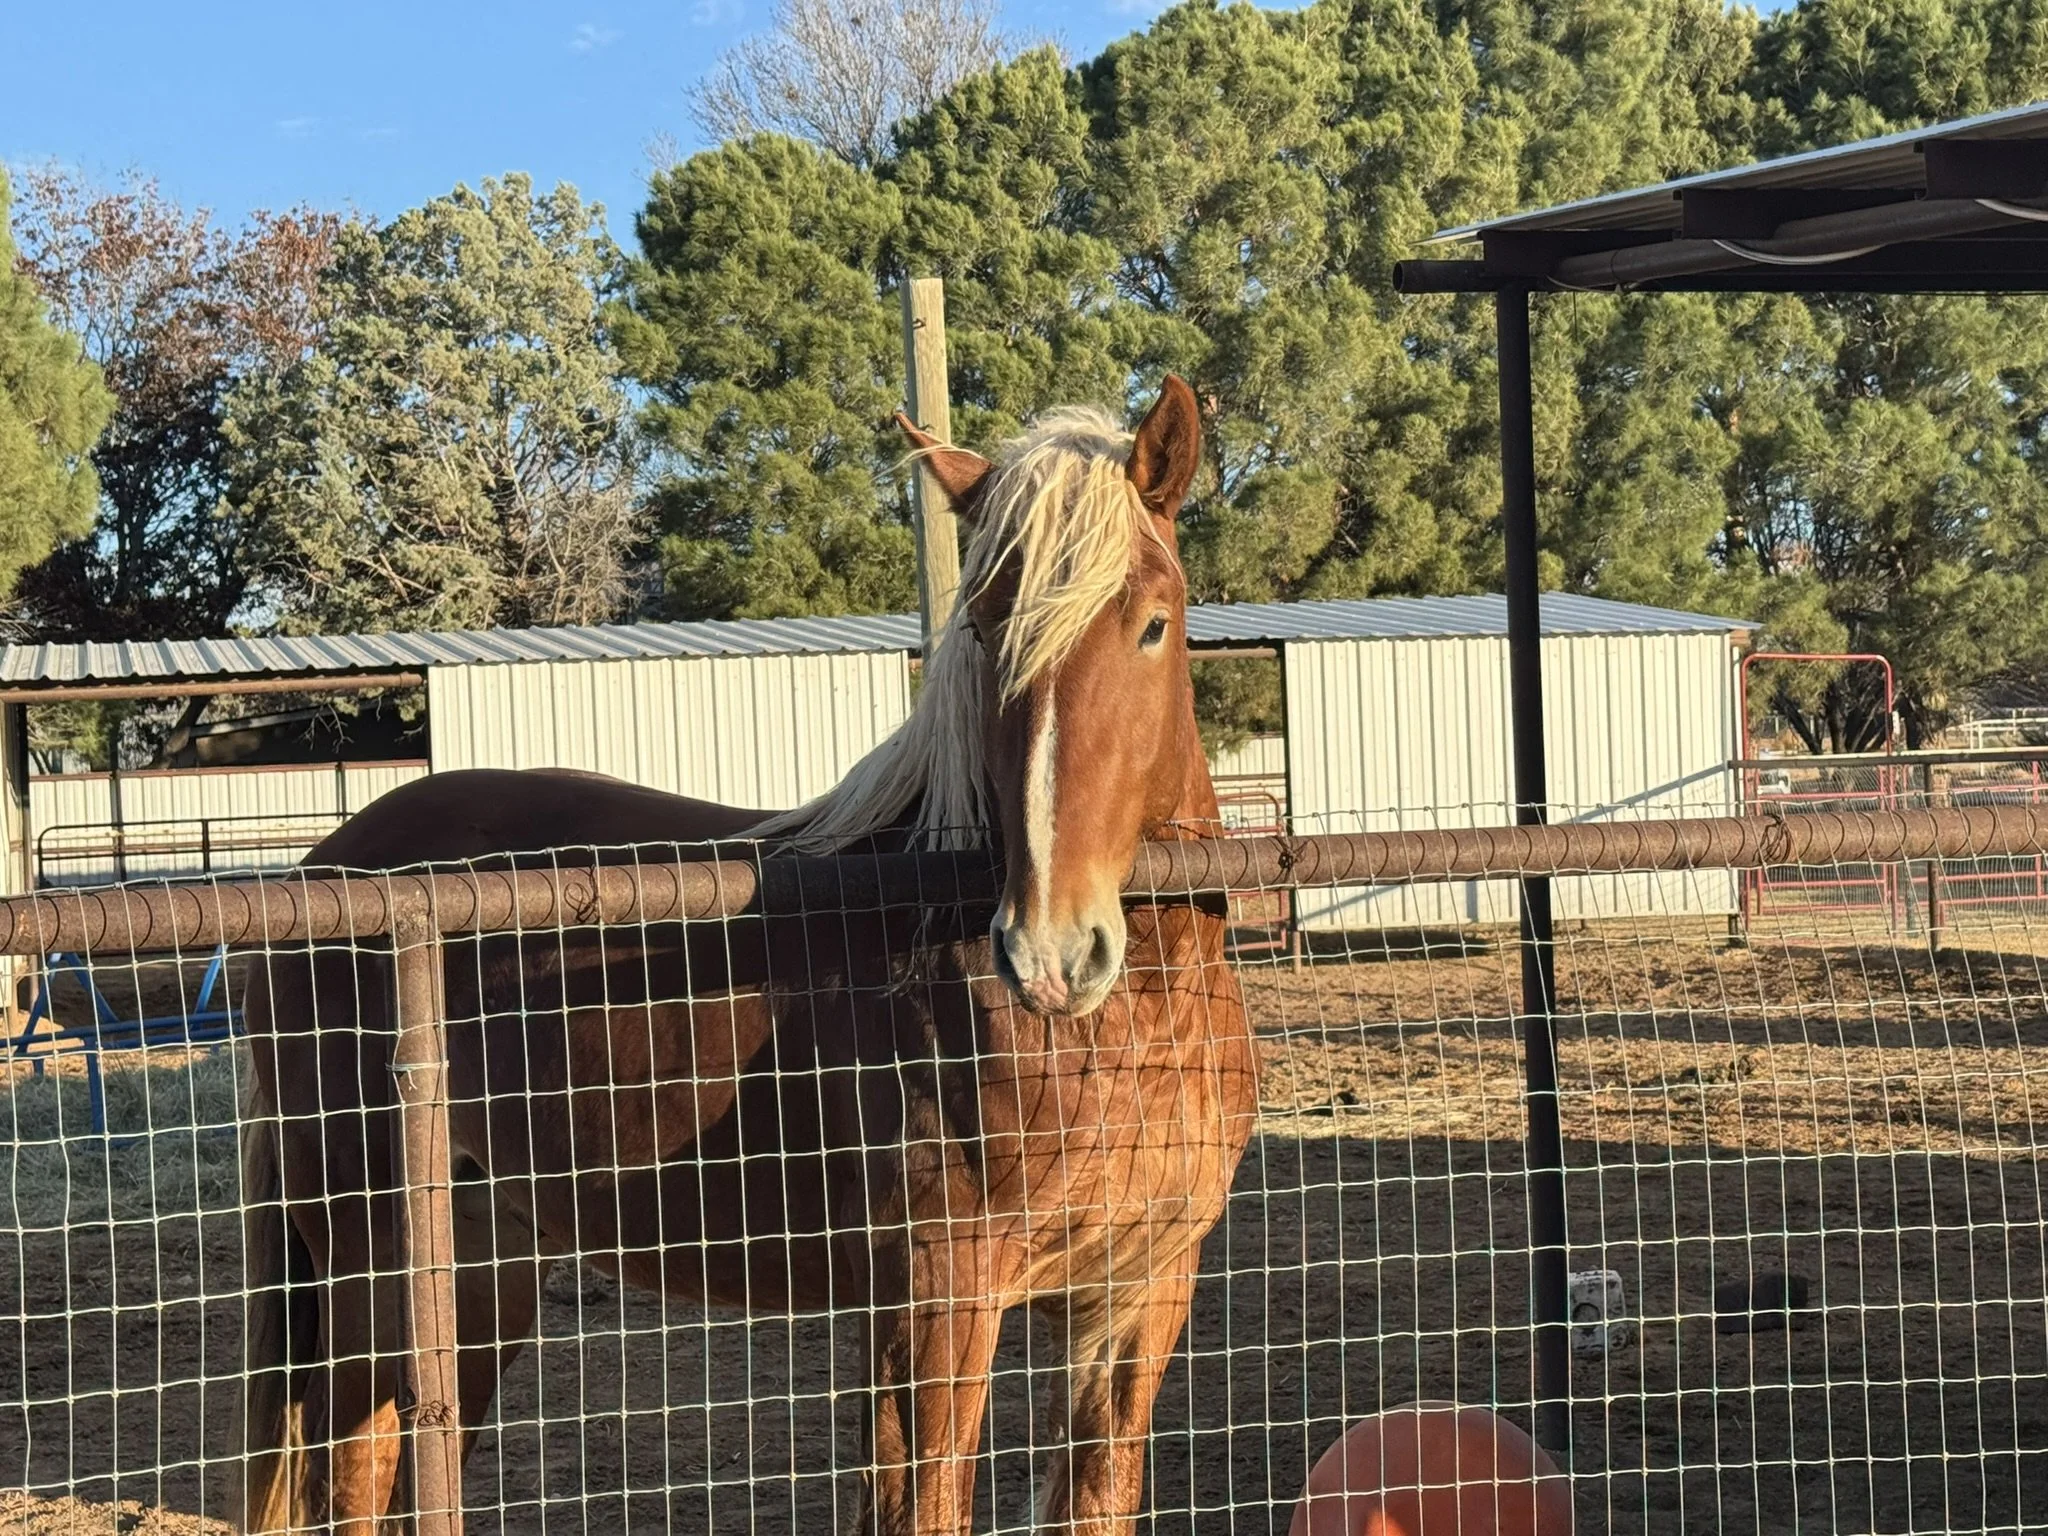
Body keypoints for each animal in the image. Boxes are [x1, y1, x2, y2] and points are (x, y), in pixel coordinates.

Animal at [237, 377, 1261, 1535]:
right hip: (372, 1269)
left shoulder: (1133, 1297)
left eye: (1151, 625)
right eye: (985, 631)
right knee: (348, 1469)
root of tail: (324, 868)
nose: (1049, 951)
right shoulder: (940, 1296)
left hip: (479, 1269)